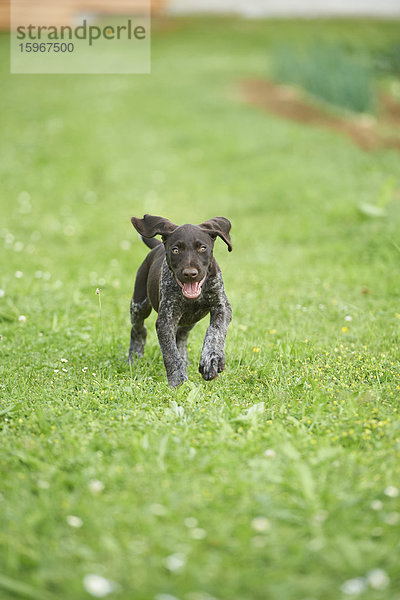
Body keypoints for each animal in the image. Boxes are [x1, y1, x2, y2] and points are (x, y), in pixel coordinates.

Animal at [128, 213, 233, 386]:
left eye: (202, 248)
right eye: (176, 250)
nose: (190, 274)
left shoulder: (222, 306)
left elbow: (215, 332)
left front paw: (211, 360)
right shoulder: (166, 319)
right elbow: (170, 353)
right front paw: (178, 380)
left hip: (190, 319)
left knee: (182, 337)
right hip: (139, 305)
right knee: (138, 330)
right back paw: (134, 357)